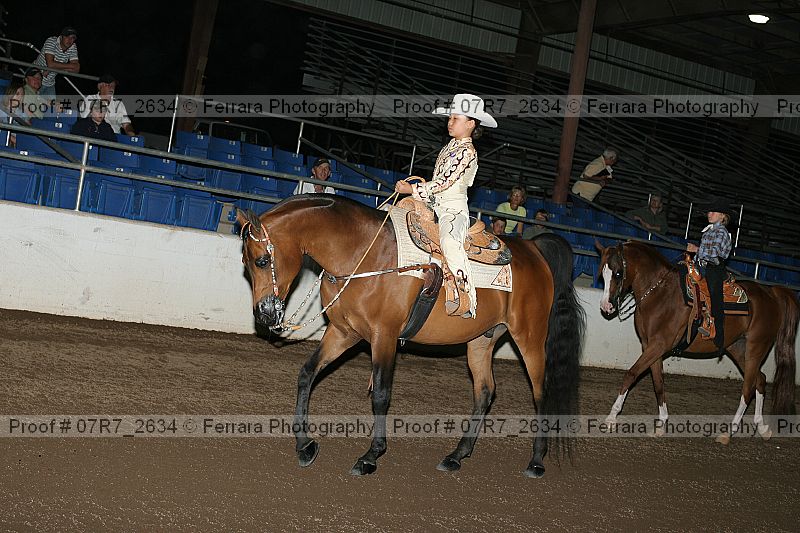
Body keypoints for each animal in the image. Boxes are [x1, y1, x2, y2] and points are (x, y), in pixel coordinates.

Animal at [235, 194, 585, 477]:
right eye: (245, 264)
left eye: (261, 260)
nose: (263, 314)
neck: (364, 253)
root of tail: (534, 248)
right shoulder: (344, 333)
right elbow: (307, 374)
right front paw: (305, 445)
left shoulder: (384, 337)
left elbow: (381, 395)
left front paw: (370, 457)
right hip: (482, 340)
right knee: (485, 392)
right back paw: (456, 455)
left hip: (530, 339)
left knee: (541, 393)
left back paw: (536, 461)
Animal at [596, 240, 798, 441]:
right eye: (602, 273)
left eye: (618, 273)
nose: (606, 306)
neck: (659, 293)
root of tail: (770, 293)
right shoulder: (650, 346)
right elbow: (658, 383)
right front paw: (661, 425)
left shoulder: (659, 345)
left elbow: (631, 374)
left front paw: (611, 418)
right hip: (739, 348)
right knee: (760, 380)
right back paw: (762, 429)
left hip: (756, 348)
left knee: (748, 390)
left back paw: (728, 433)